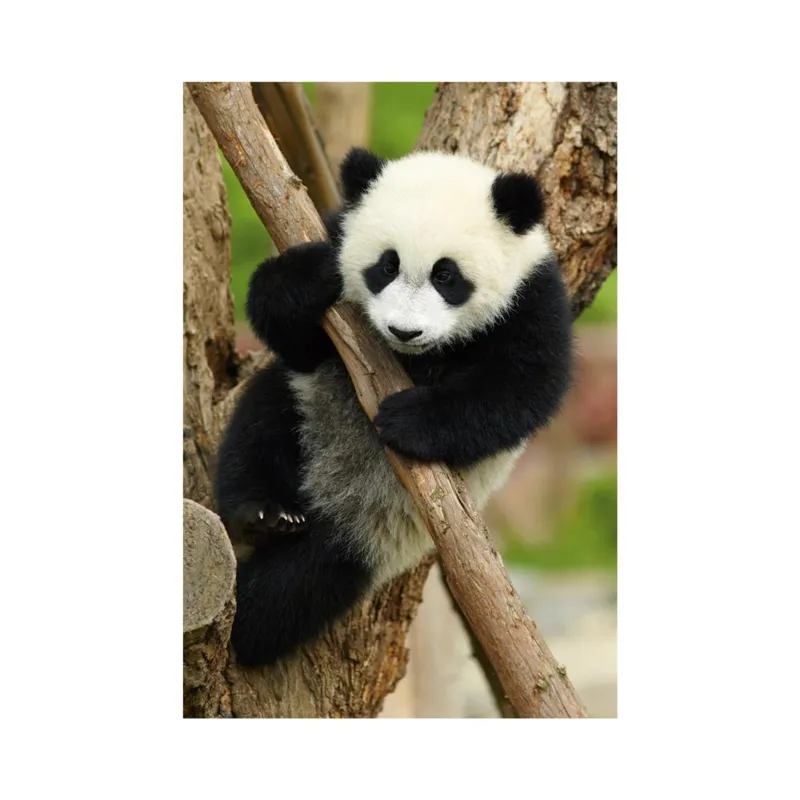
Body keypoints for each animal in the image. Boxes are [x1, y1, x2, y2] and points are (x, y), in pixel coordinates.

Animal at [213, 147, 573, 667]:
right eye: (386, 266)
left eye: (446, 275)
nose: (405, 331)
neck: (415, 358)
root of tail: (330, 499)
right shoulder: (333, 243)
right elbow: (294, 333)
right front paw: (305, 278)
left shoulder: (532, 297)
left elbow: (523, 386)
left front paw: (408, 419)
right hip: (304, 403)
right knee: (259, 426)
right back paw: (262, 514)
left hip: (385, 532)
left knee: (312, 579)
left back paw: (252, 624)